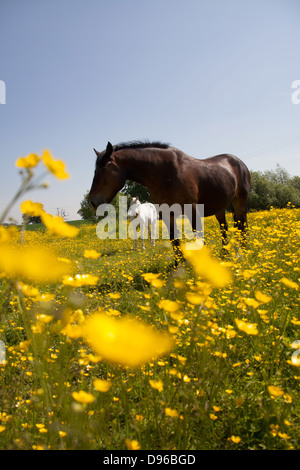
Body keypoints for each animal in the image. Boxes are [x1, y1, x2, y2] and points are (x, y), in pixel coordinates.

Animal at [88, 140, 251, 264]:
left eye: (104, 169)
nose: (92, 202)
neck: (166, 173)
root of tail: (238, 162)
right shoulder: (167, 214)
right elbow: (175, 240)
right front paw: (179, 266)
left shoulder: (192, 210)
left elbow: (198, 237)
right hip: (220, 208)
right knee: (225, 228)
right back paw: (225, 254)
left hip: (240, 201)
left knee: (241, 226)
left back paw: (241, 252)